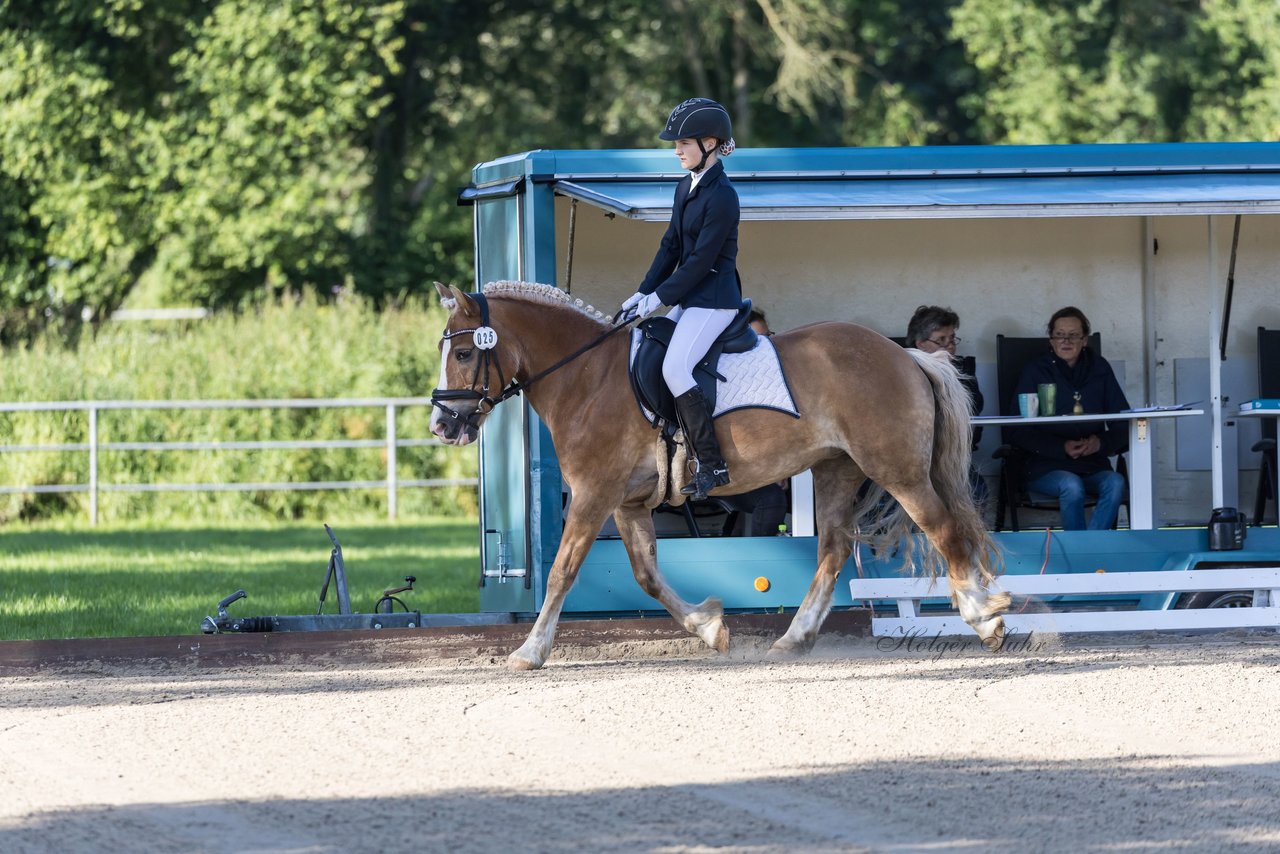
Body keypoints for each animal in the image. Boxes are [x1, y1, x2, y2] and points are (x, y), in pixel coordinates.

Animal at [430, 284, 1008, 670]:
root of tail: (905, 355)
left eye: (463, 352)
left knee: (942, 528)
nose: (442, 425)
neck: (586, 377)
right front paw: (709, 627)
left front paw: (530, 650)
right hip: (835, 469)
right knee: (834, 547)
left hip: (896, 469)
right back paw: (794, 639)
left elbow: (562, 571)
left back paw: (985, 616)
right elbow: (646, 575)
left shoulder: (595, 494)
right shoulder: (628, 503)